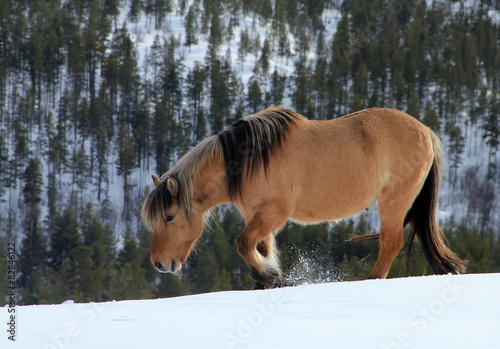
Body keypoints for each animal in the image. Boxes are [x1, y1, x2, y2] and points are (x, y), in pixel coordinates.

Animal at [140, 106, 464, 288]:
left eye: (169, 217)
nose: (159, 263)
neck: (246, 161)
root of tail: (426, 132)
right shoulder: (257, 216)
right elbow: (261, 248)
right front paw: (269, 278)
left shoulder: (274, 213)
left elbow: (242, 243)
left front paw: (267, 276)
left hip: (393, 202)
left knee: (391, 243)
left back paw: (371, 281)